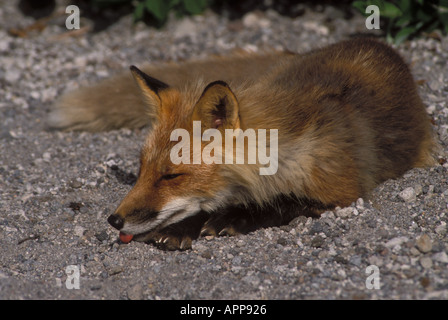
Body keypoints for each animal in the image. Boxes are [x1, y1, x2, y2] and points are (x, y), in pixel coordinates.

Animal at [50, 38, 438, 250]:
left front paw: (235, 216)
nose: (114, 220)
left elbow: (285, 200)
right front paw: (182, 227)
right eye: (141, 170)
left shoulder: (342, 189)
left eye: (171, 176)